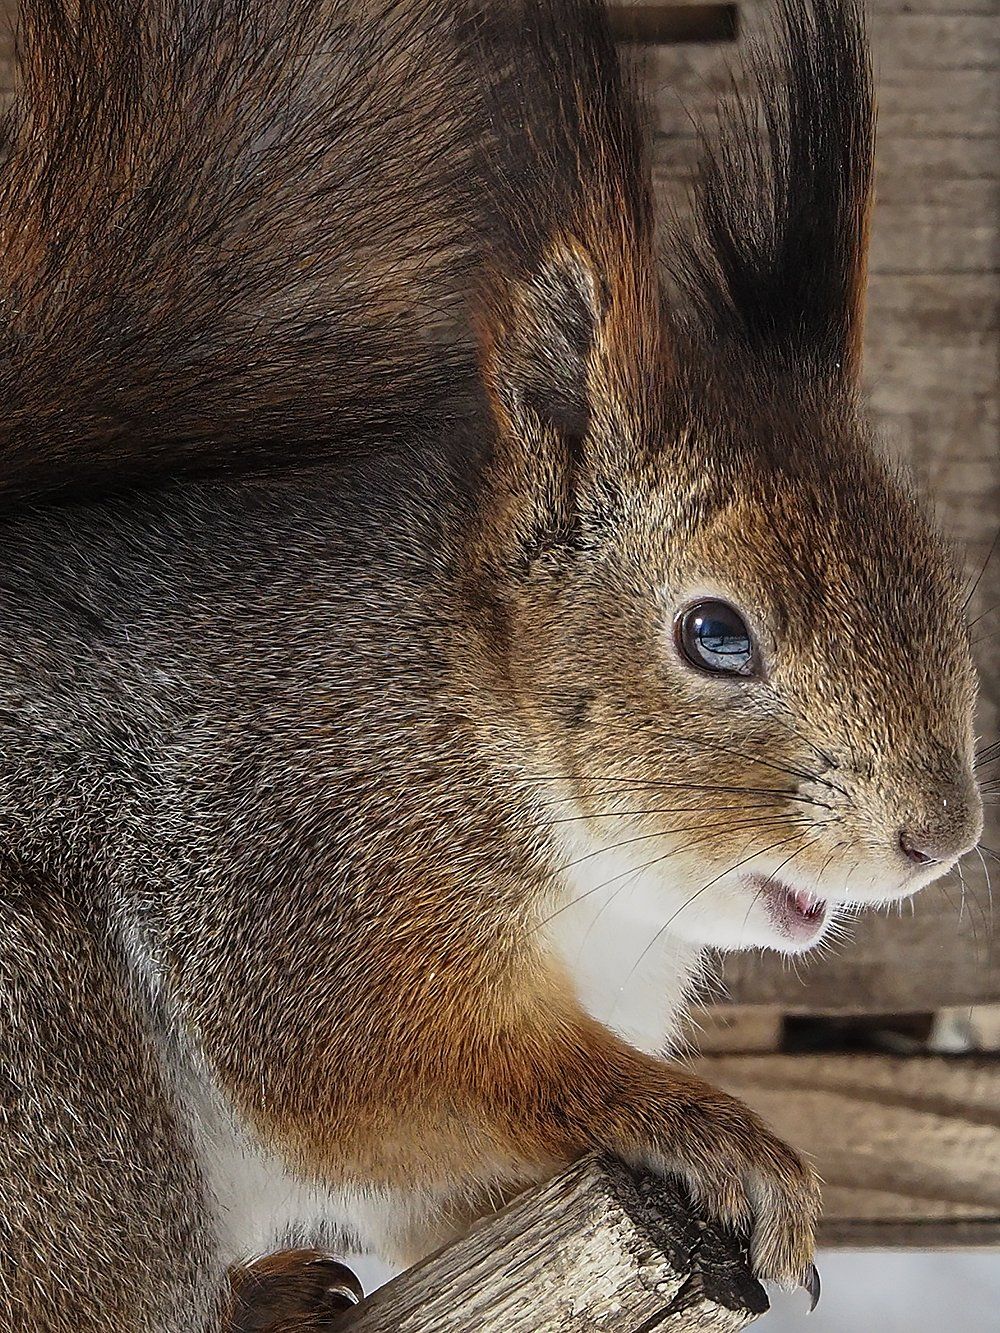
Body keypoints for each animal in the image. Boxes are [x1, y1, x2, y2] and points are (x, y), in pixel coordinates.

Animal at [0, 2, 986, 1333]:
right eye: (713, 634)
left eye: (934, 572)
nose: (941, 837)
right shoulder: (304, 853)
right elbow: (370, 1063)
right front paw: (721, 1138)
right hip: (63, 1083)